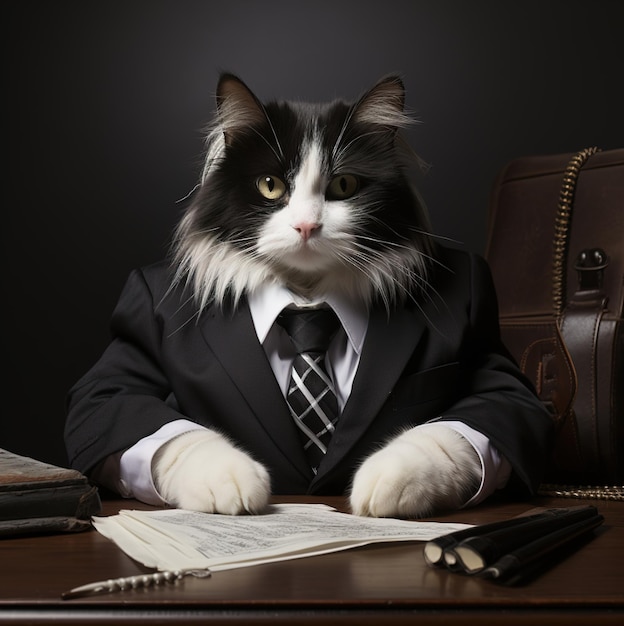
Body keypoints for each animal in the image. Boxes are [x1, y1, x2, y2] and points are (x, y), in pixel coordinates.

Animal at [151, 72, 482, 516]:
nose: (307, 226)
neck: (306, 296)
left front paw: (390, 481)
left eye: (343, 185)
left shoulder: (502, 386)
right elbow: (174, 435)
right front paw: (229, 480)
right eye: (270, 186)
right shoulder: (114, 385)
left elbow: (449, 433)